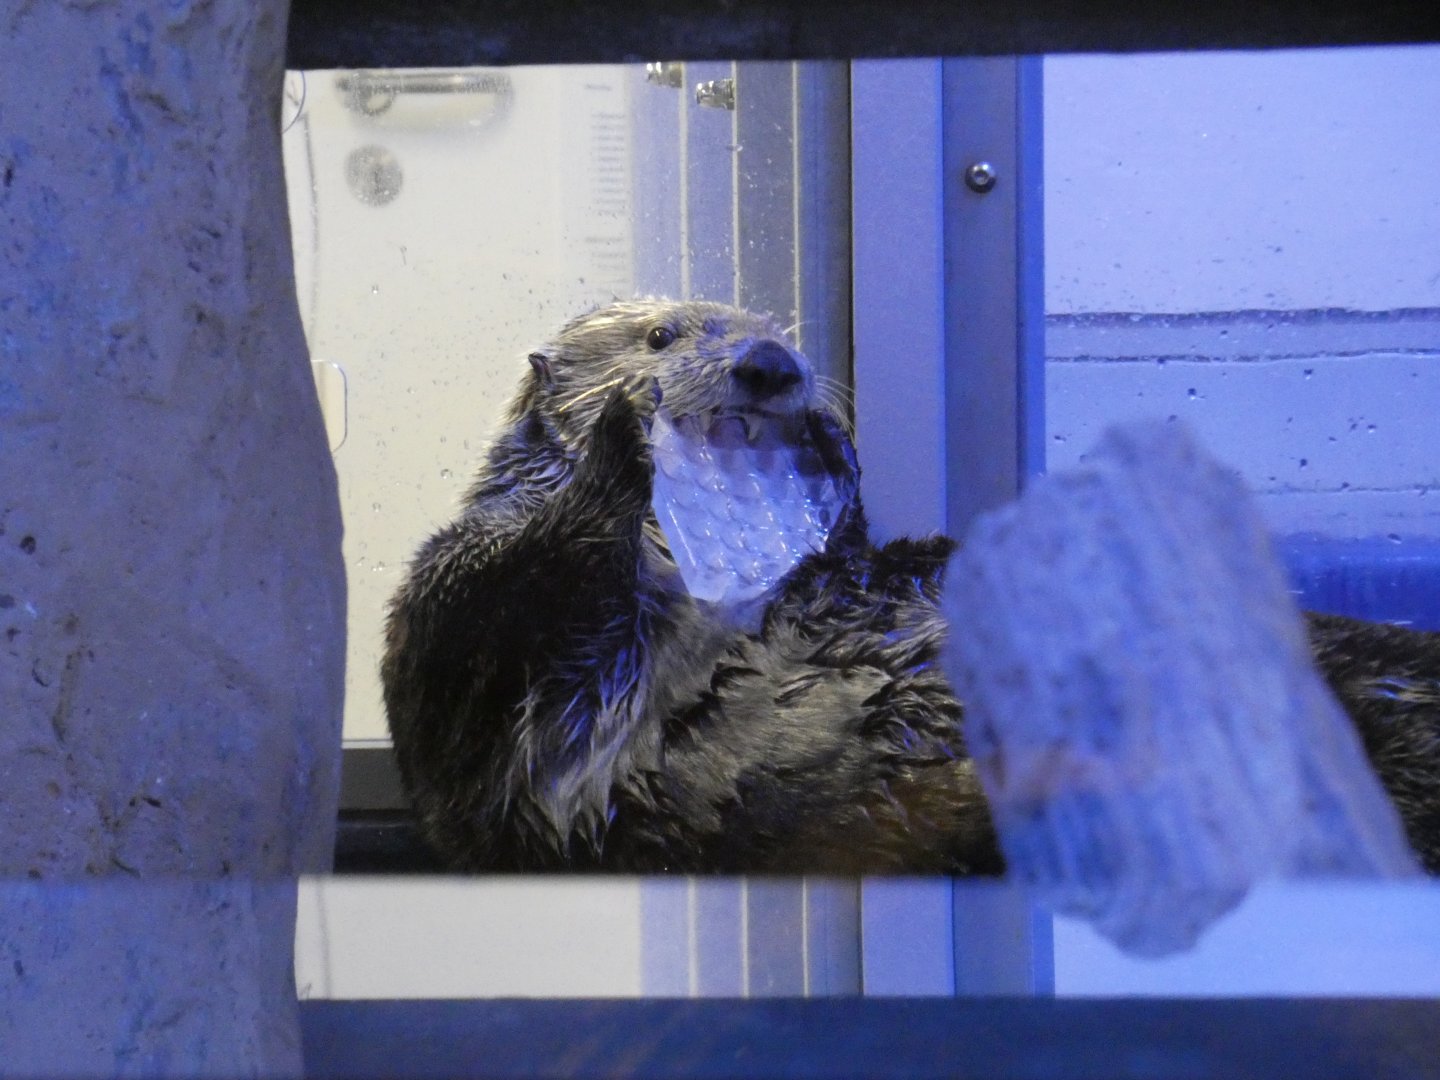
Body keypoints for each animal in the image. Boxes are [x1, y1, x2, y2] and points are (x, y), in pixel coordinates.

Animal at [383, 299, 1440, 874]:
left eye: (778, 329)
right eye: (659, 334)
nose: (770, 365)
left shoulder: (837, 575)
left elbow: (864, 551)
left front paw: (833, 445)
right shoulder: (474, 690)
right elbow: (472, 613)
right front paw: (617, 439)